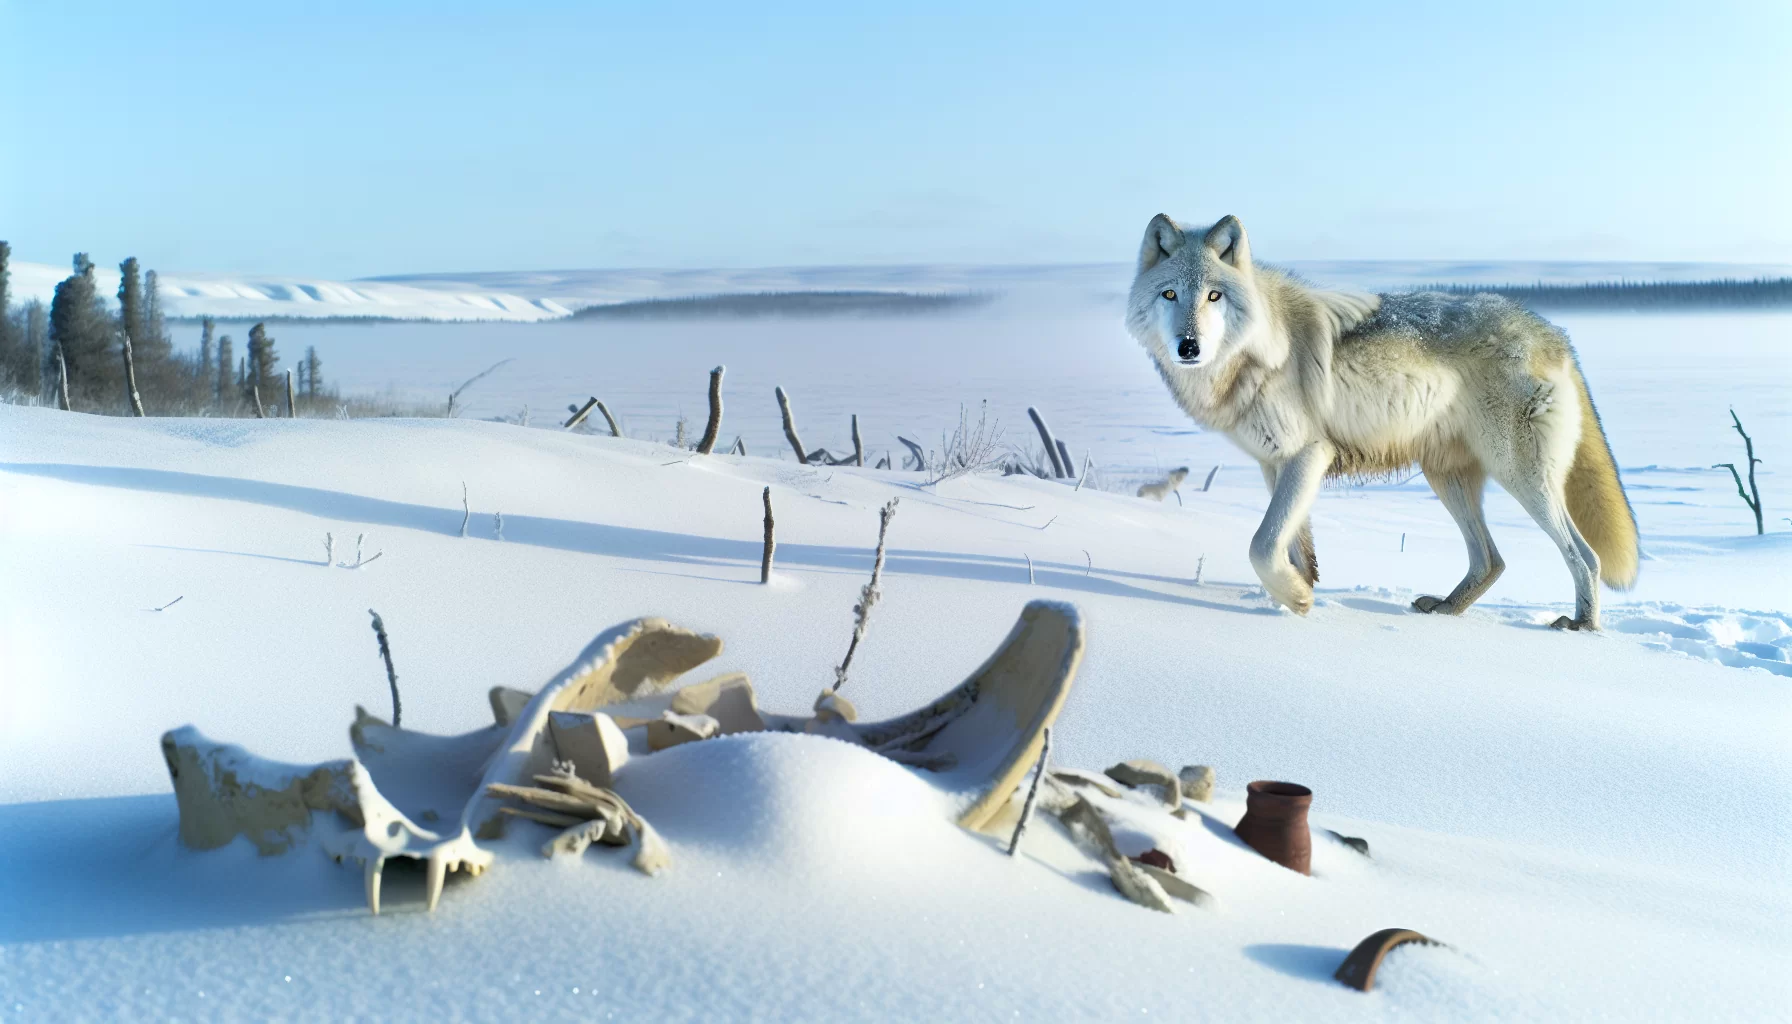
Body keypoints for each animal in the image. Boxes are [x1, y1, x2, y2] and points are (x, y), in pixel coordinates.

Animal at [1125, 213, 1638, 630]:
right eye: (1170, 294)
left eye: (1214, 295)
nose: (1188, 346)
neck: (1258, 352)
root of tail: (1552, 332)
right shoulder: (1275, 465)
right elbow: (1290, 547)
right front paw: (1296, 597)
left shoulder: (1308, 454)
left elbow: (1260, 545)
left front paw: (1297, 600)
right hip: (1447, 477)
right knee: (1492, 560)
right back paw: (1446, 609)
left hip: (1521, 478)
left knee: (1585, 556)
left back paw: (1581, 626)